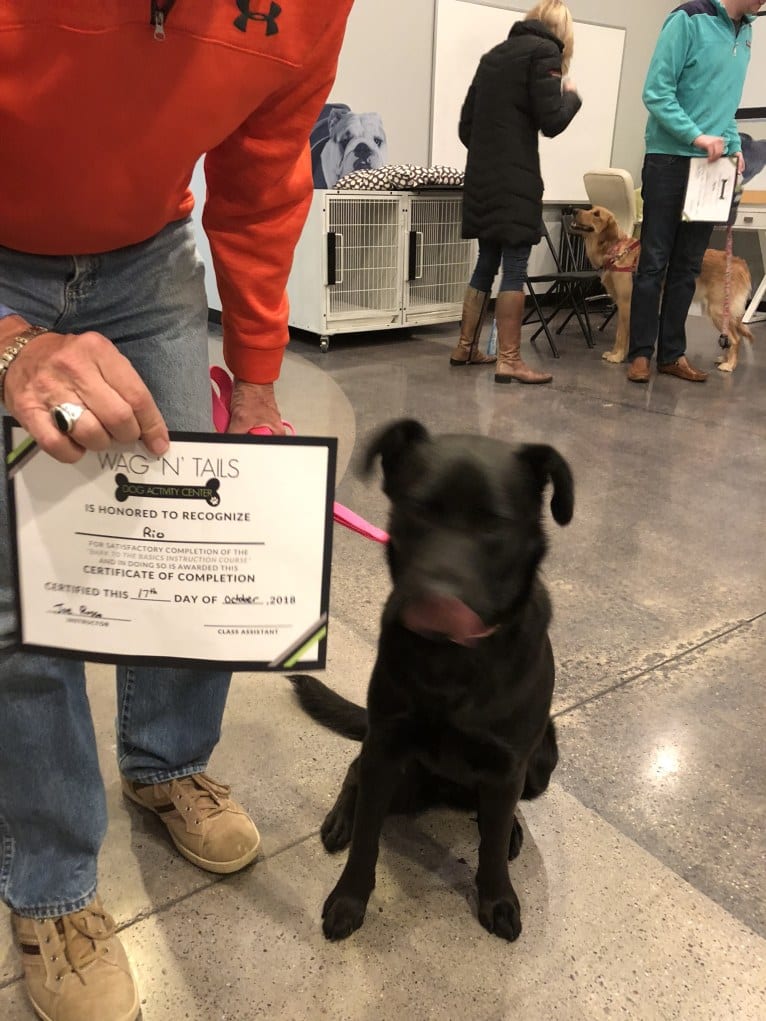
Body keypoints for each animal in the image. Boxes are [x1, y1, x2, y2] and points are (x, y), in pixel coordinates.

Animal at [290, 420, 571, 939]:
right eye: (419, 511)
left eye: (493, 526)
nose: (436, 603)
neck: (451, 661)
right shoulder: (386, 747)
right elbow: (367, 838)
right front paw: (349, 898)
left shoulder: (508, 766)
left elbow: (491, 847)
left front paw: (498, 898)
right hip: (396, 772)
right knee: (356, 772)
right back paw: (341, 819)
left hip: (541, 762)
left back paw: (511, 826)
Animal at [571, 204, 751, 371]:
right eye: (590, 208)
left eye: (596, 214)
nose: (574, 210)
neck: (615, 250)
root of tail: (739, 262)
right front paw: (617, 353)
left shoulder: (625, 304)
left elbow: (620, 335)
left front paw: (617, 356)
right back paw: (724, 359)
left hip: (717, 310)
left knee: (736, 339)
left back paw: (729, 365)